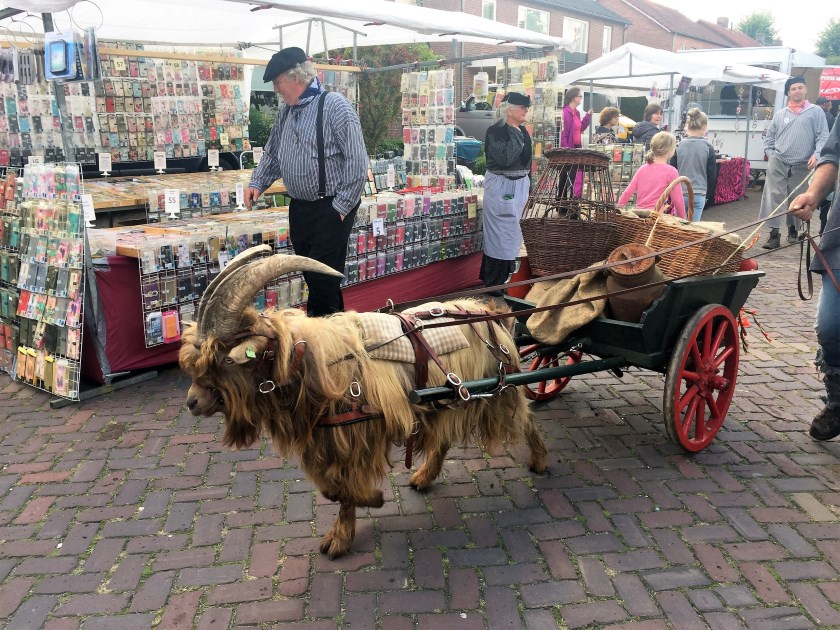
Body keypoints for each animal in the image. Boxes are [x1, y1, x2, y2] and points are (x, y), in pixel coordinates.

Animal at [178, 247, 548, 556]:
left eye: (225, 360)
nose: (192, 402)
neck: (319, 366)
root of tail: (491, 313)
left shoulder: (359, 434)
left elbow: (346, 489)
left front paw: (359, 516)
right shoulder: (328, 438)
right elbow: (332, 489)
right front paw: (351, 522)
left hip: (500, 389)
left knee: (526, 420)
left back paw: (540, 461)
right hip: (449, 395)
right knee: (443, 436)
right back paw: (424, 477)